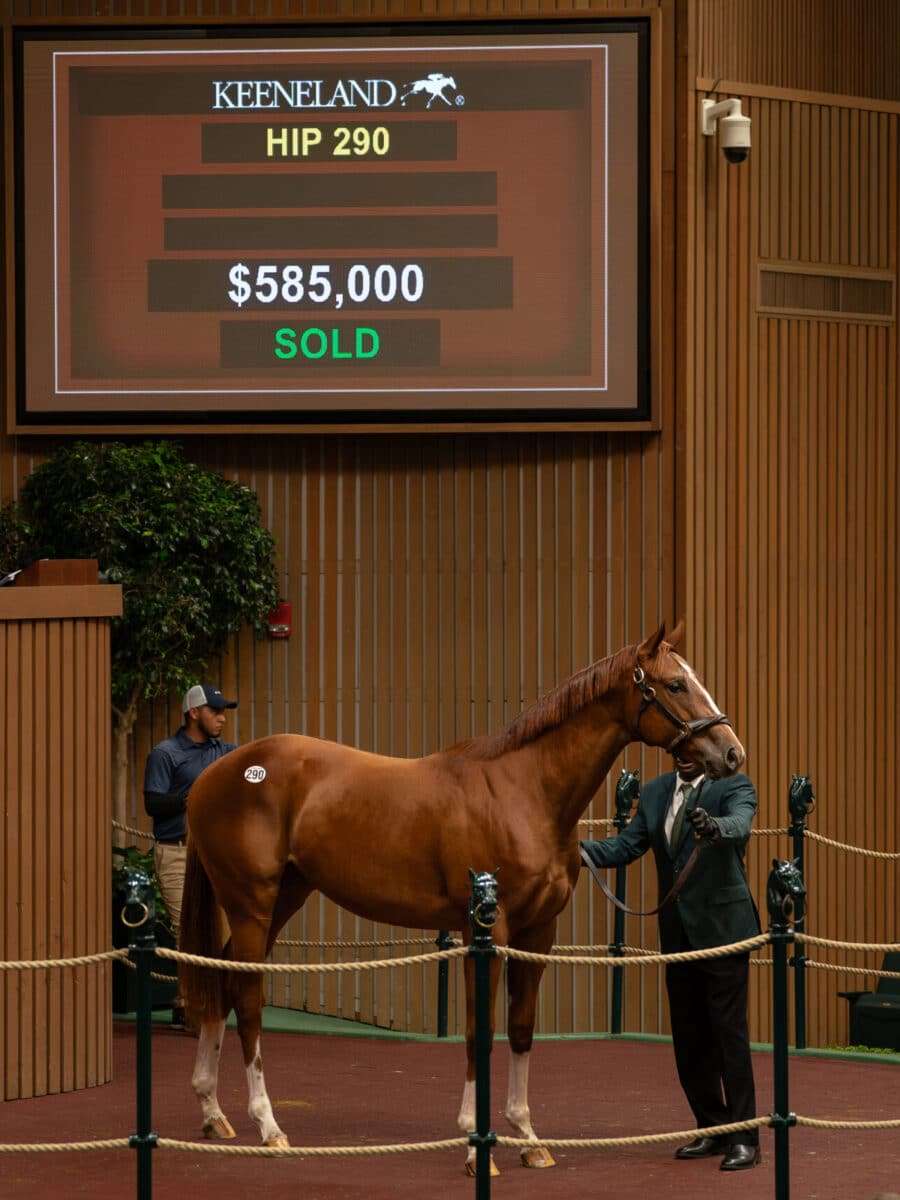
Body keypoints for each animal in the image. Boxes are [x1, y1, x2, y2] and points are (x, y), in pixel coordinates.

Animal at [177, 628, 748, 1171]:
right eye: (675, 684)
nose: (731, 752)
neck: (524, 792)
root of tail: (215, 774)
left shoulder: (538, 934)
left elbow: (520, 1029)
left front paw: (528, 1139)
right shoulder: (486, 932)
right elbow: (481, 1031)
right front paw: (477, 1147)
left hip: (286, 896)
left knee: (222, 980)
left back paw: (212, 1112)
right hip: (251, 904)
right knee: (247, 999)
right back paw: (268, 1126)